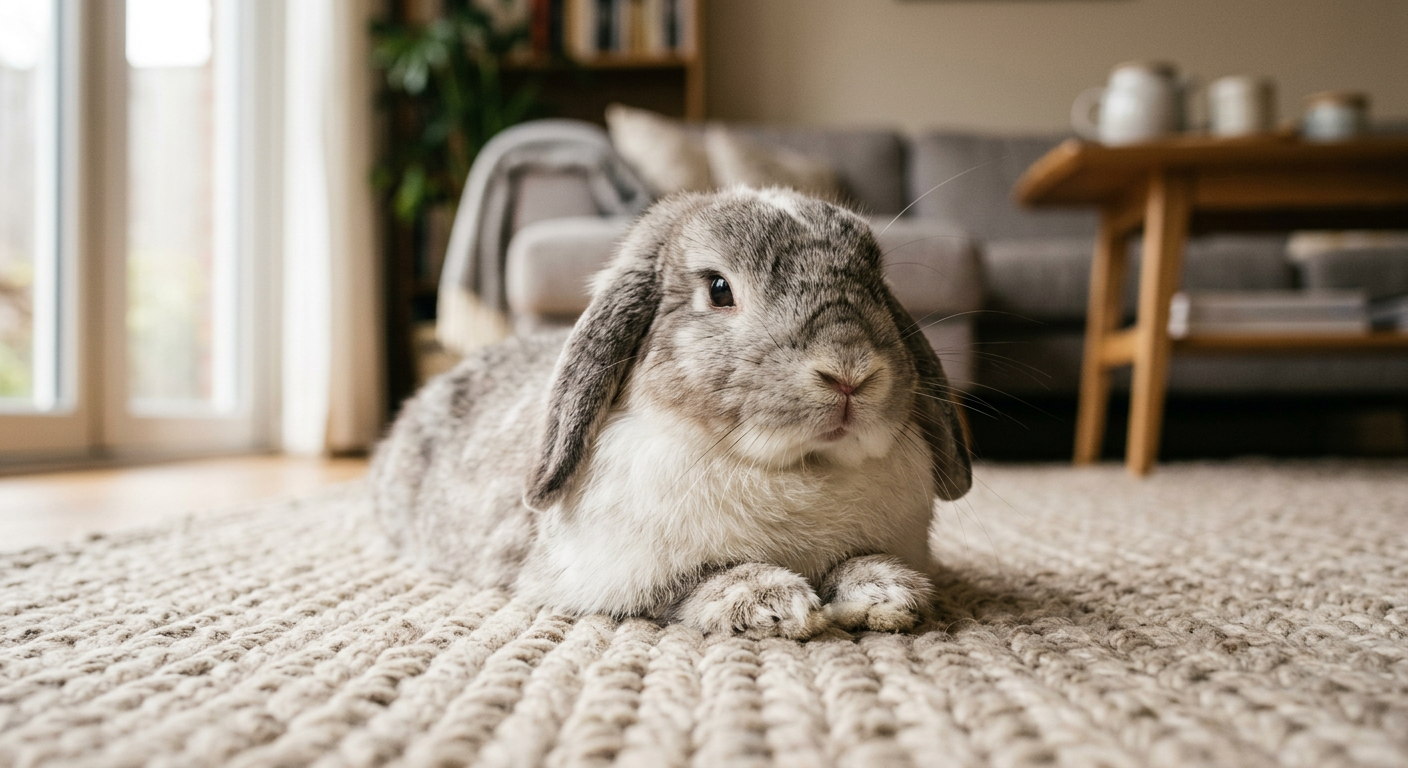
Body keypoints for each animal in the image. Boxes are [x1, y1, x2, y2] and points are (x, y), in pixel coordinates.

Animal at [371, 187, 971, 639]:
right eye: (720, 289)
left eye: (876, 284)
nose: (850, 372)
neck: (800, 467)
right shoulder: (612, 575)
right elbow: (692, 584)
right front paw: (774, 604)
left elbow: (862, 562)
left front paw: (887, 594)